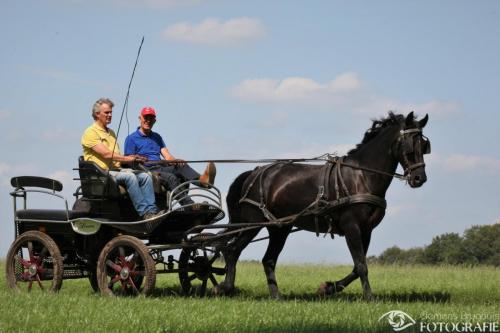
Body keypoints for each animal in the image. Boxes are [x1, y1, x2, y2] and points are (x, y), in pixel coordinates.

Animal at [215, 112, 430, 300]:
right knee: (233, 250)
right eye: (410, 145)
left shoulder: (366, 230)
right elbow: (361, 265)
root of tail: (255, 171)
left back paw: (276, 296)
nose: (419, 178)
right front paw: (369, 297)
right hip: (253, 223)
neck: (362, 176)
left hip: (280, 228)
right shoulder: (351, 226)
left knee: (268, 259)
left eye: (424, 145)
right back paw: (226, 288)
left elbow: (356, 266)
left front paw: (327, 288)